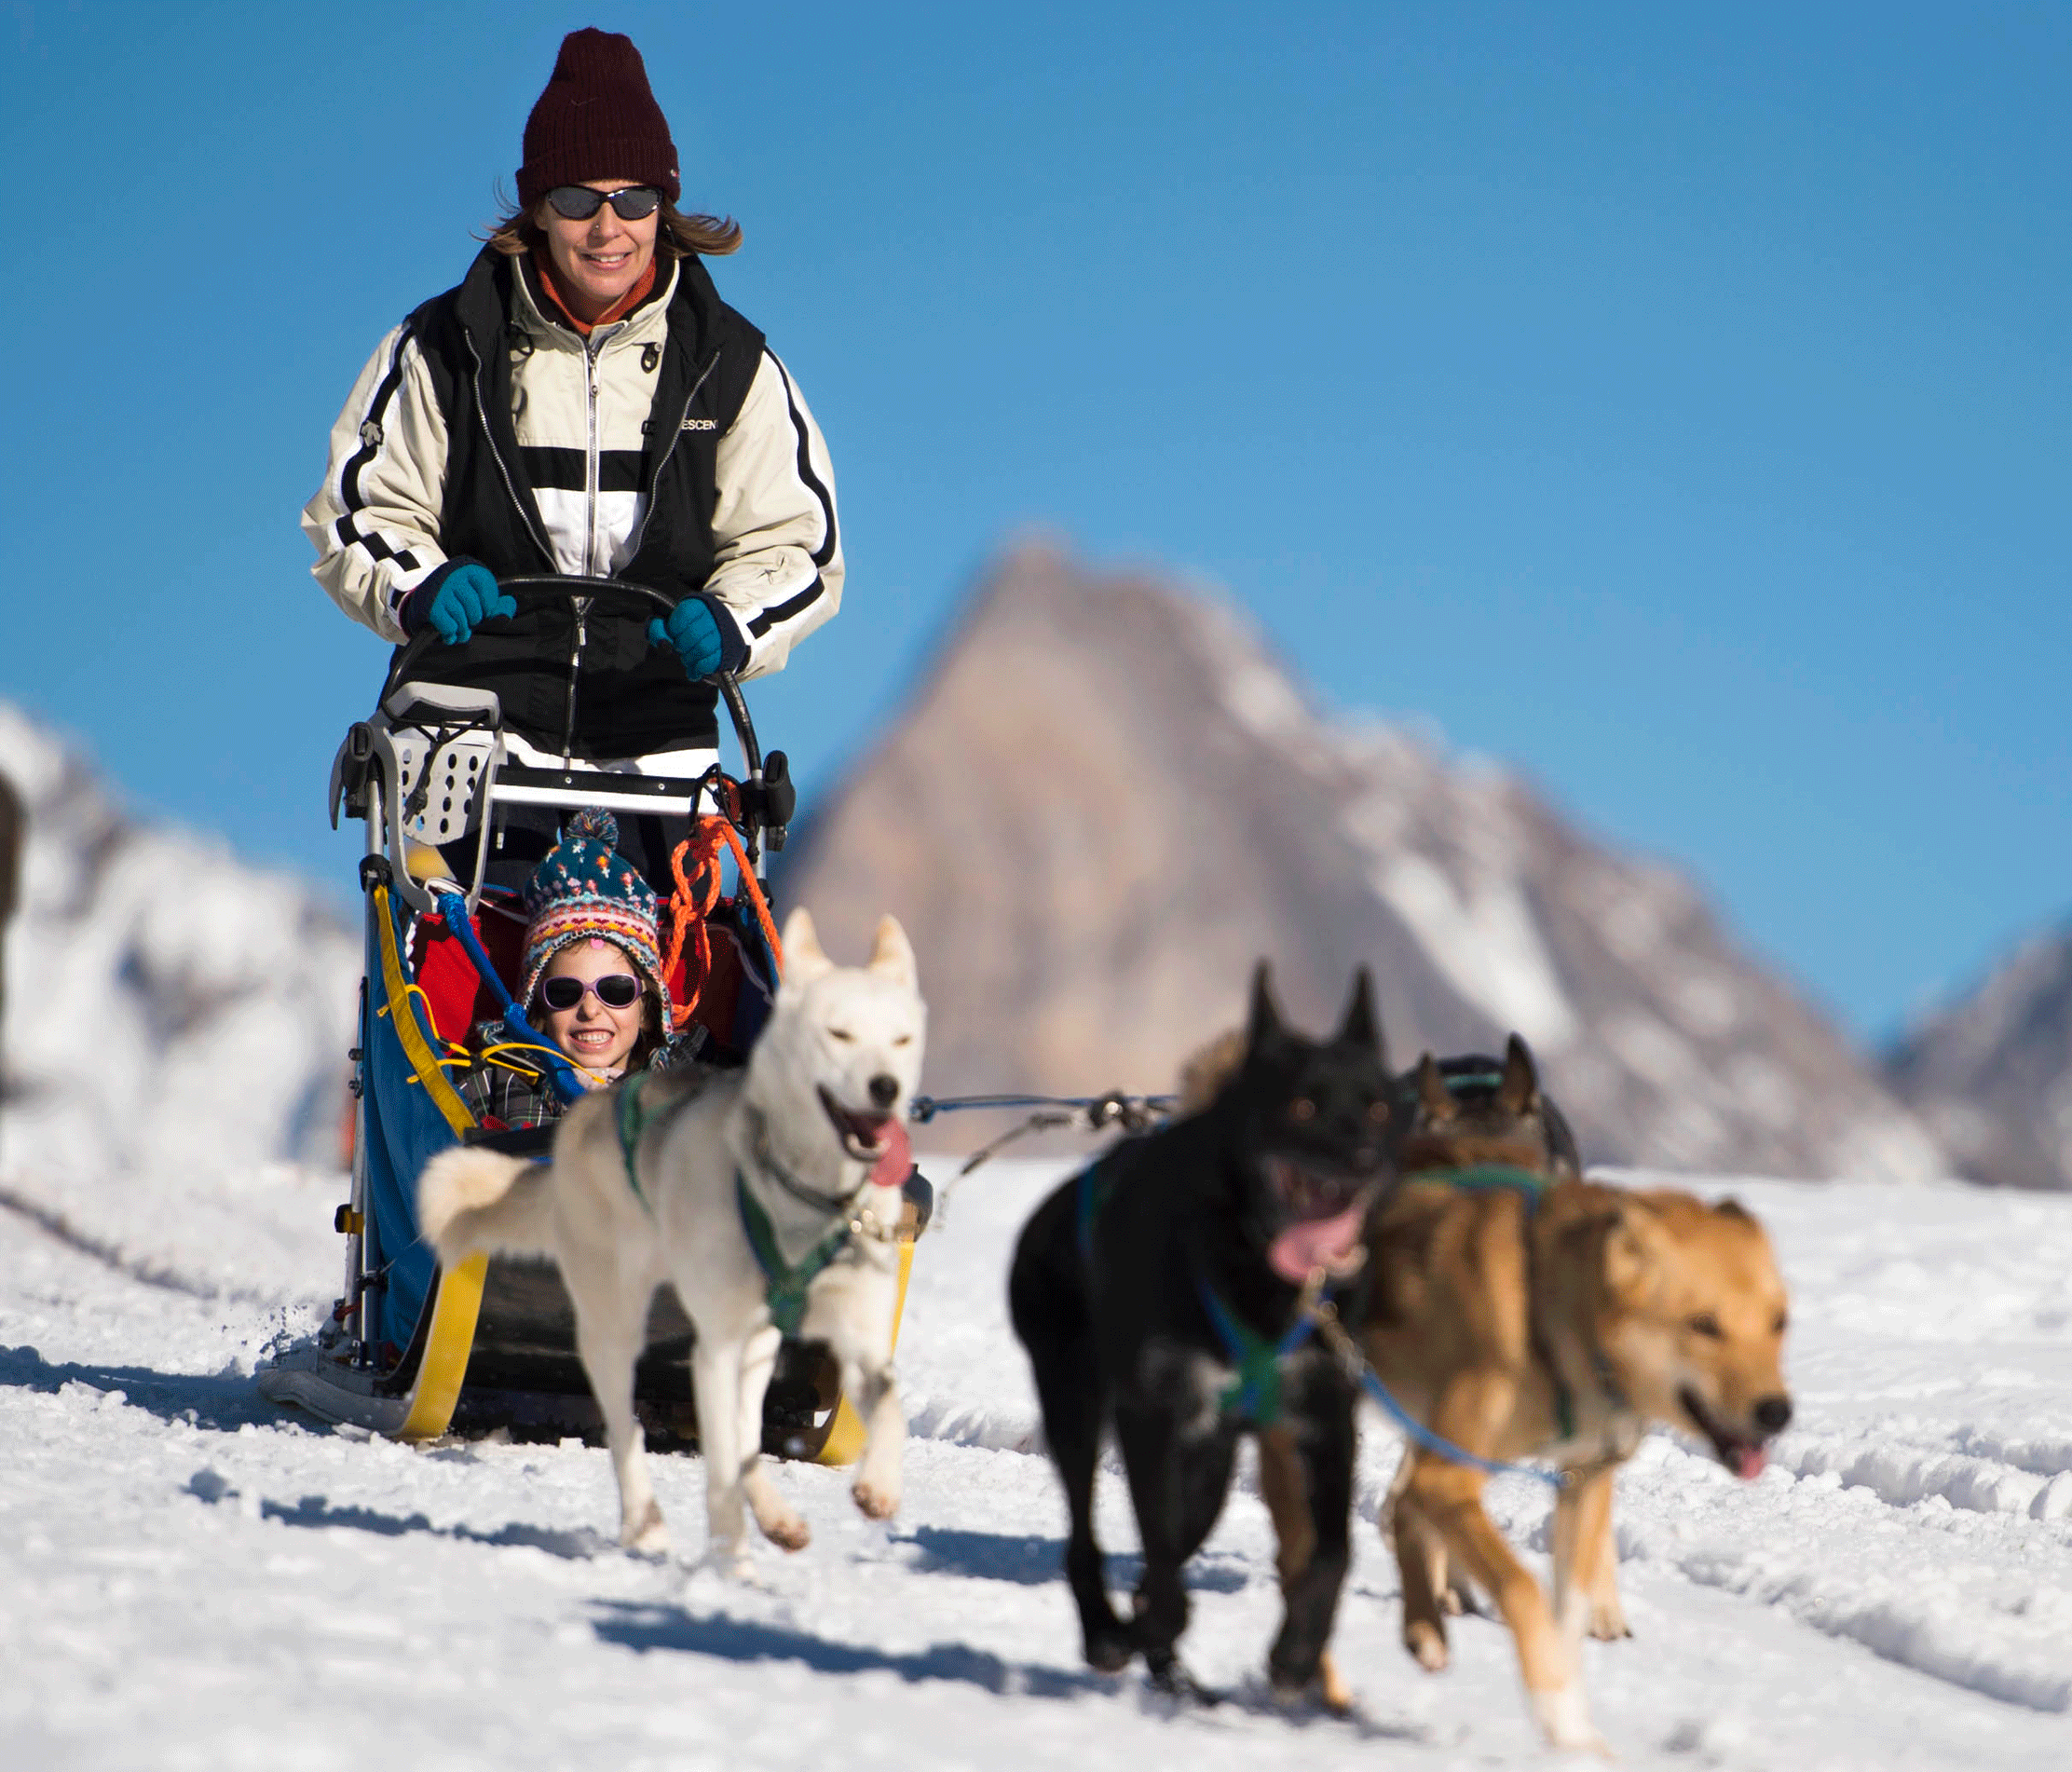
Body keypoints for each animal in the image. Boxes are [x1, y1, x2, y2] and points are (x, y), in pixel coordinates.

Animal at [416, 907, 928, 1574]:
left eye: (901, 1041)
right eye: (837, 1035)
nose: (885, 1087)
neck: (804, 1195)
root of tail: (579, 1124)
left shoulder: (856, 1337)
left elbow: (887, 1408)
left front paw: (880, 1488)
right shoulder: (715, 1348)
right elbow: (723, 1462)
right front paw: (732, 1562)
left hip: (756, 1346)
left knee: (744, 1431)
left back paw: (772, 1517)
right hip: (616, 1325)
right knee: (629, 1427)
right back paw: (647, 1521)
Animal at [1011, 970, 1400, 1708]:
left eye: (1379, 1106)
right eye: (1303, 1103)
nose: (1367, 1159)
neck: (1257, 1278)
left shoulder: (1324, 1418)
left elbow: (1334, 1551)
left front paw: (1296, 1652)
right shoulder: (1152, 1415)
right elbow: (1161, 1563)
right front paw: (1147, 1625)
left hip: (1213, 1465)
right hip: (1075, 1403)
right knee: (1087, 1537)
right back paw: (1111, 1634)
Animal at [1251, 1040, 1790, 1749]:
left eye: (1781, 1323)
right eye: (1703, 1325)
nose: (1777, 1411)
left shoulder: (1578, 1476)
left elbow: (1566, 1594)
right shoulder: (1452, 1467)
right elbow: (1518, 1584)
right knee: (1312, 1557)